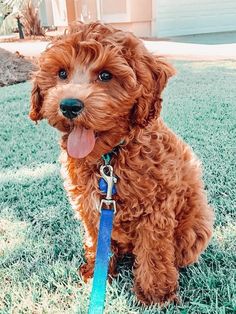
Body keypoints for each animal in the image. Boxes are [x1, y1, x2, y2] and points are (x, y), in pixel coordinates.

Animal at [29, 22, 214, 306]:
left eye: (106, 75)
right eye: (62, 73)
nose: (69, 105)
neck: (109, 159)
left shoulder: (156, 211)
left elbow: (154, 253)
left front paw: (155, 294)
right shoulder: (90, 208)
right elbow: (97, 242)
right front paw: (97, 273)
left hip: (196, 228)